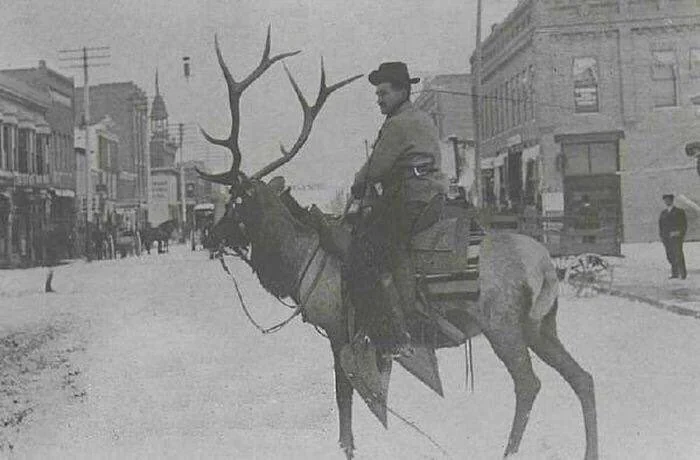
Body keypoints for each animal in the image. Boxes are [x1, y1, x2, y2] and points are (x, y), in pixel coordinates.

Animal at [197, 28, 596, 460]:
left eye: (236, 201)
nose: (209, 236)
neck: (301, 263)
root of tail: (546, 267)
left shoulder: (339, 330)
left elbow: (344, 398)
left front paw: (348, 446)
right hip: (541, 325)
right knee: (583, 378)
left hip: (501, 323)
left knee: (529, 384)